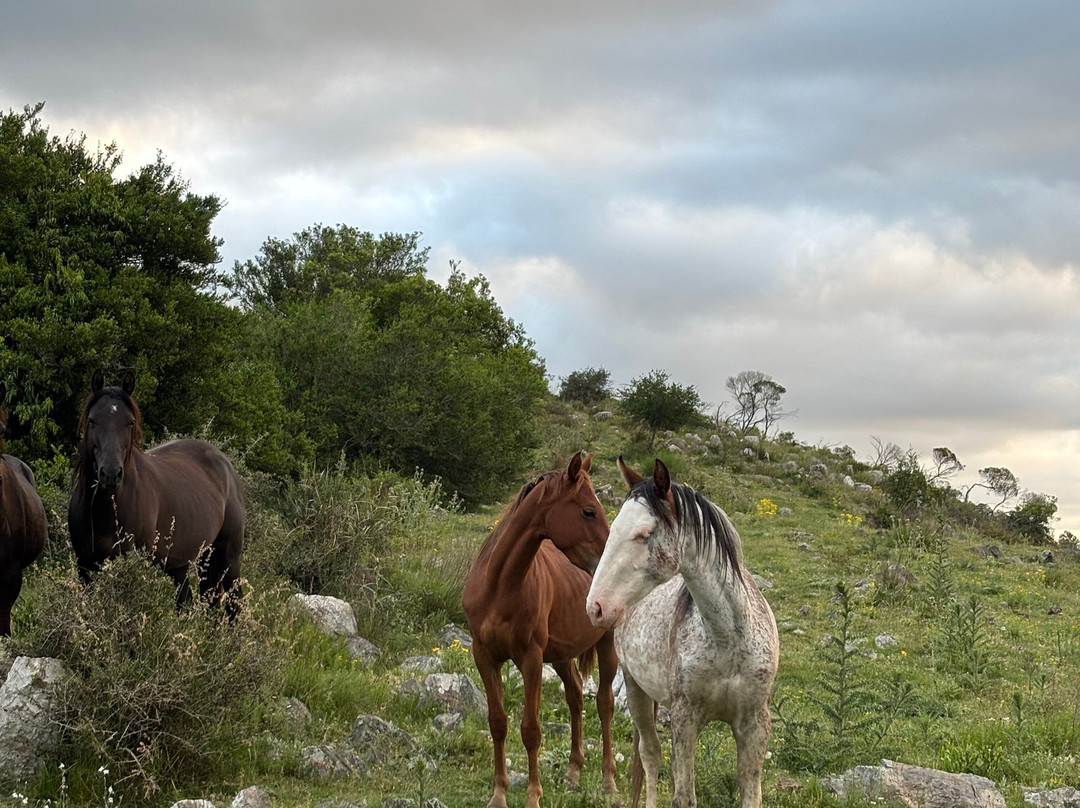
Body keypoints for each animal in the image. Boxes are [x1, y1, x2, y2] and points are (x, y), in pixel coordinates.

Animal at [68, 371, 245, 615]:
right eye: (93, 420)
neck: (106, 510)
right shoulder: (85, 566)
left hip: (228, 557)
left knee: (233, 605)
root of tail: (225, 464)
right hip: (184, 563)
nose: (111, 474)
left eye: (130, 422)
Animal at [462, 451, 619, 808]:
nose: (607, 565)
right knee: (576, 696)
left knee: (604, 703)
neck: (500, 588)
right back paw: (573, 771)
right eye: (588, 511)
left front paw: (533, 795)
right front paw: (499, 793)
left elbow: (531, 730)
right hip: (561, 655)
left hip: (607, 644)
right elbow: (498, 723)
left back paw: (608, 780)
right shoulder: (484, 656)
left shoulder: (531, 659)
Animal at [586, 457, 779, 808]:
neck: (727, 638)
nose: (596, 607)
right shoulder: (685, 720)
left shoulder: (754, 723)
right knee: (650, 755)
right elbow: (683, 795)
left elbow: (750, 793)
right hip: (635, 688)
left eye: (644, 533)